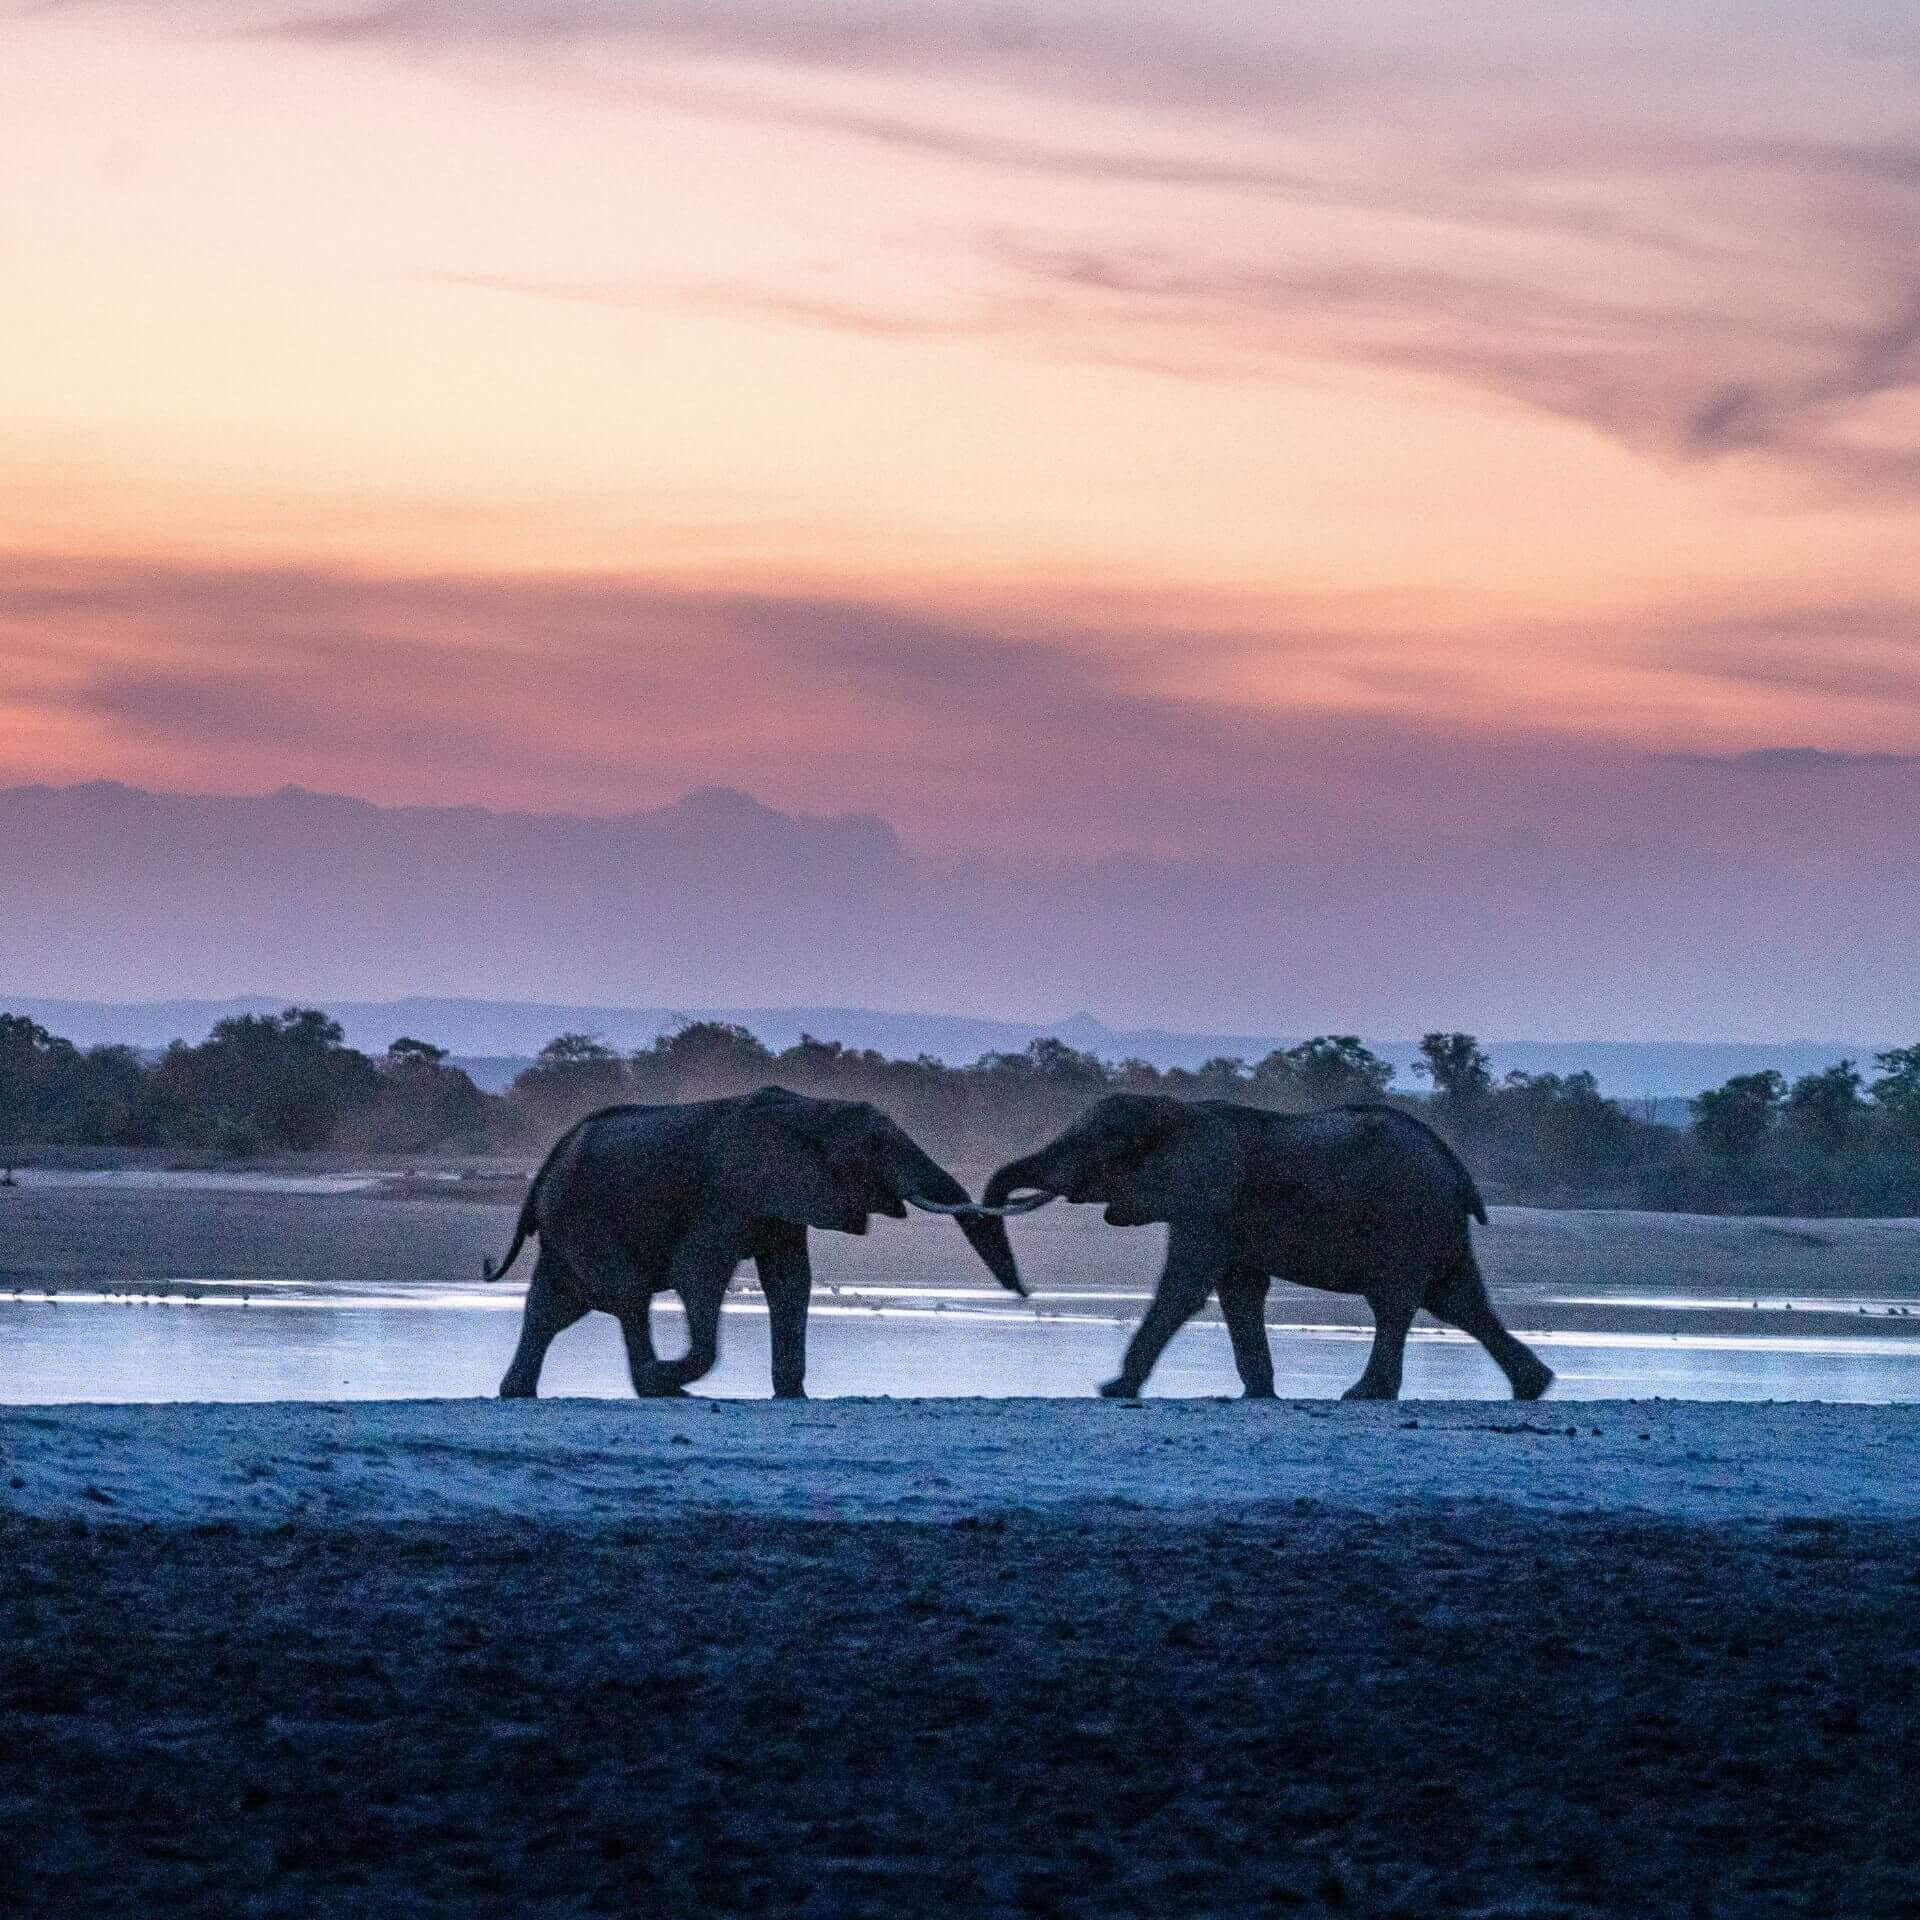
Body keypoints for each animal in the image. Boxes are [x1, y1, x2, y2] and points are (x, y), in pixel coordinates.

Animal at [483, 1098, 1021, 1397]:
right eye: (877, 1147)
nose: (1022, 1294)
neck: (812, 1111)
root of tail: (546, 1165)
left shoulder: (785, 1199)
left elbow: (790, 1282)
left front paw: (793, 1395)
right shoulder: (726, 1194)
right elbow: (698, 1272)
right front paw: (674, 1372)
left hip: (567, 1221)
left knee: (552, 1306)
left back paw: (519, 1393)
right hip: (583, 1214)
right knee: (626, 1298)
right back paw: (660, 1385)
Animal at [983, 1098, 1551, 1397]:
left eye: (1091, 1150)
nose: (1023, 1293)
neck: (1176, 1111)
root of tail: (1455, 1167)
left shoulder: (1208, 1197)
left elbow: (1186, 1287)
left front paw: (1113, 1390)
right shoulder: (1223, 1213)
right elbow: (1239, 1293)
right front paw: (1258, 1395)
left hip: (1406, 1218)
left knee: (1396, 1302)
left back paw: (1362, 1396)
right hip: (1434, 1223)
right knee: (1457, 1301)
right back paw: (1534, 1387)